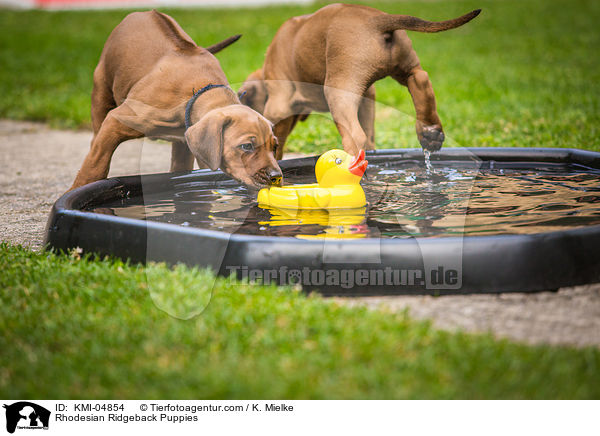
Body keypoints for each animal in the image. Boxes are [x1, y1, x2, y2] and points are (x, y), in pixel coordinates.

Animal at [71, 9, 284, 191]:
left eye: (275, 147)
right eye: (246, 146)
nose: (276, 177)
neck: (199, 91)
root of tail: (144, 11)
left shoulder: (186, 143)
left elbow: (180, 173)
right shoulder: (116, 121)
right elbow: (95, 165)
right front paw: (79, 187)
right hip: (101, 89)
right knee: (96, 136)